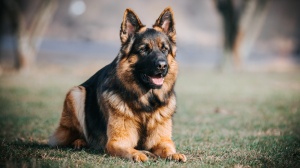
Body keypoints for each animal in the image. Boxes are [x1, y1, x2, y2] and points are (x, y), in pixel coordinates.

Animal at [48, 7, 185, 162]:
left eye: (164, 49)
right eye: (144, 49)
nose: (162, 65)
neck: (146, 103)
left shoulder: (162, 140)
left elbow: (168, 147)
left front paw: (173, 154)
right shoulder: (117, 142)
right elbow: (132, 151)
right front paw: (141, 154)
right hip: (76, 93)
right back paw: (79, 142)